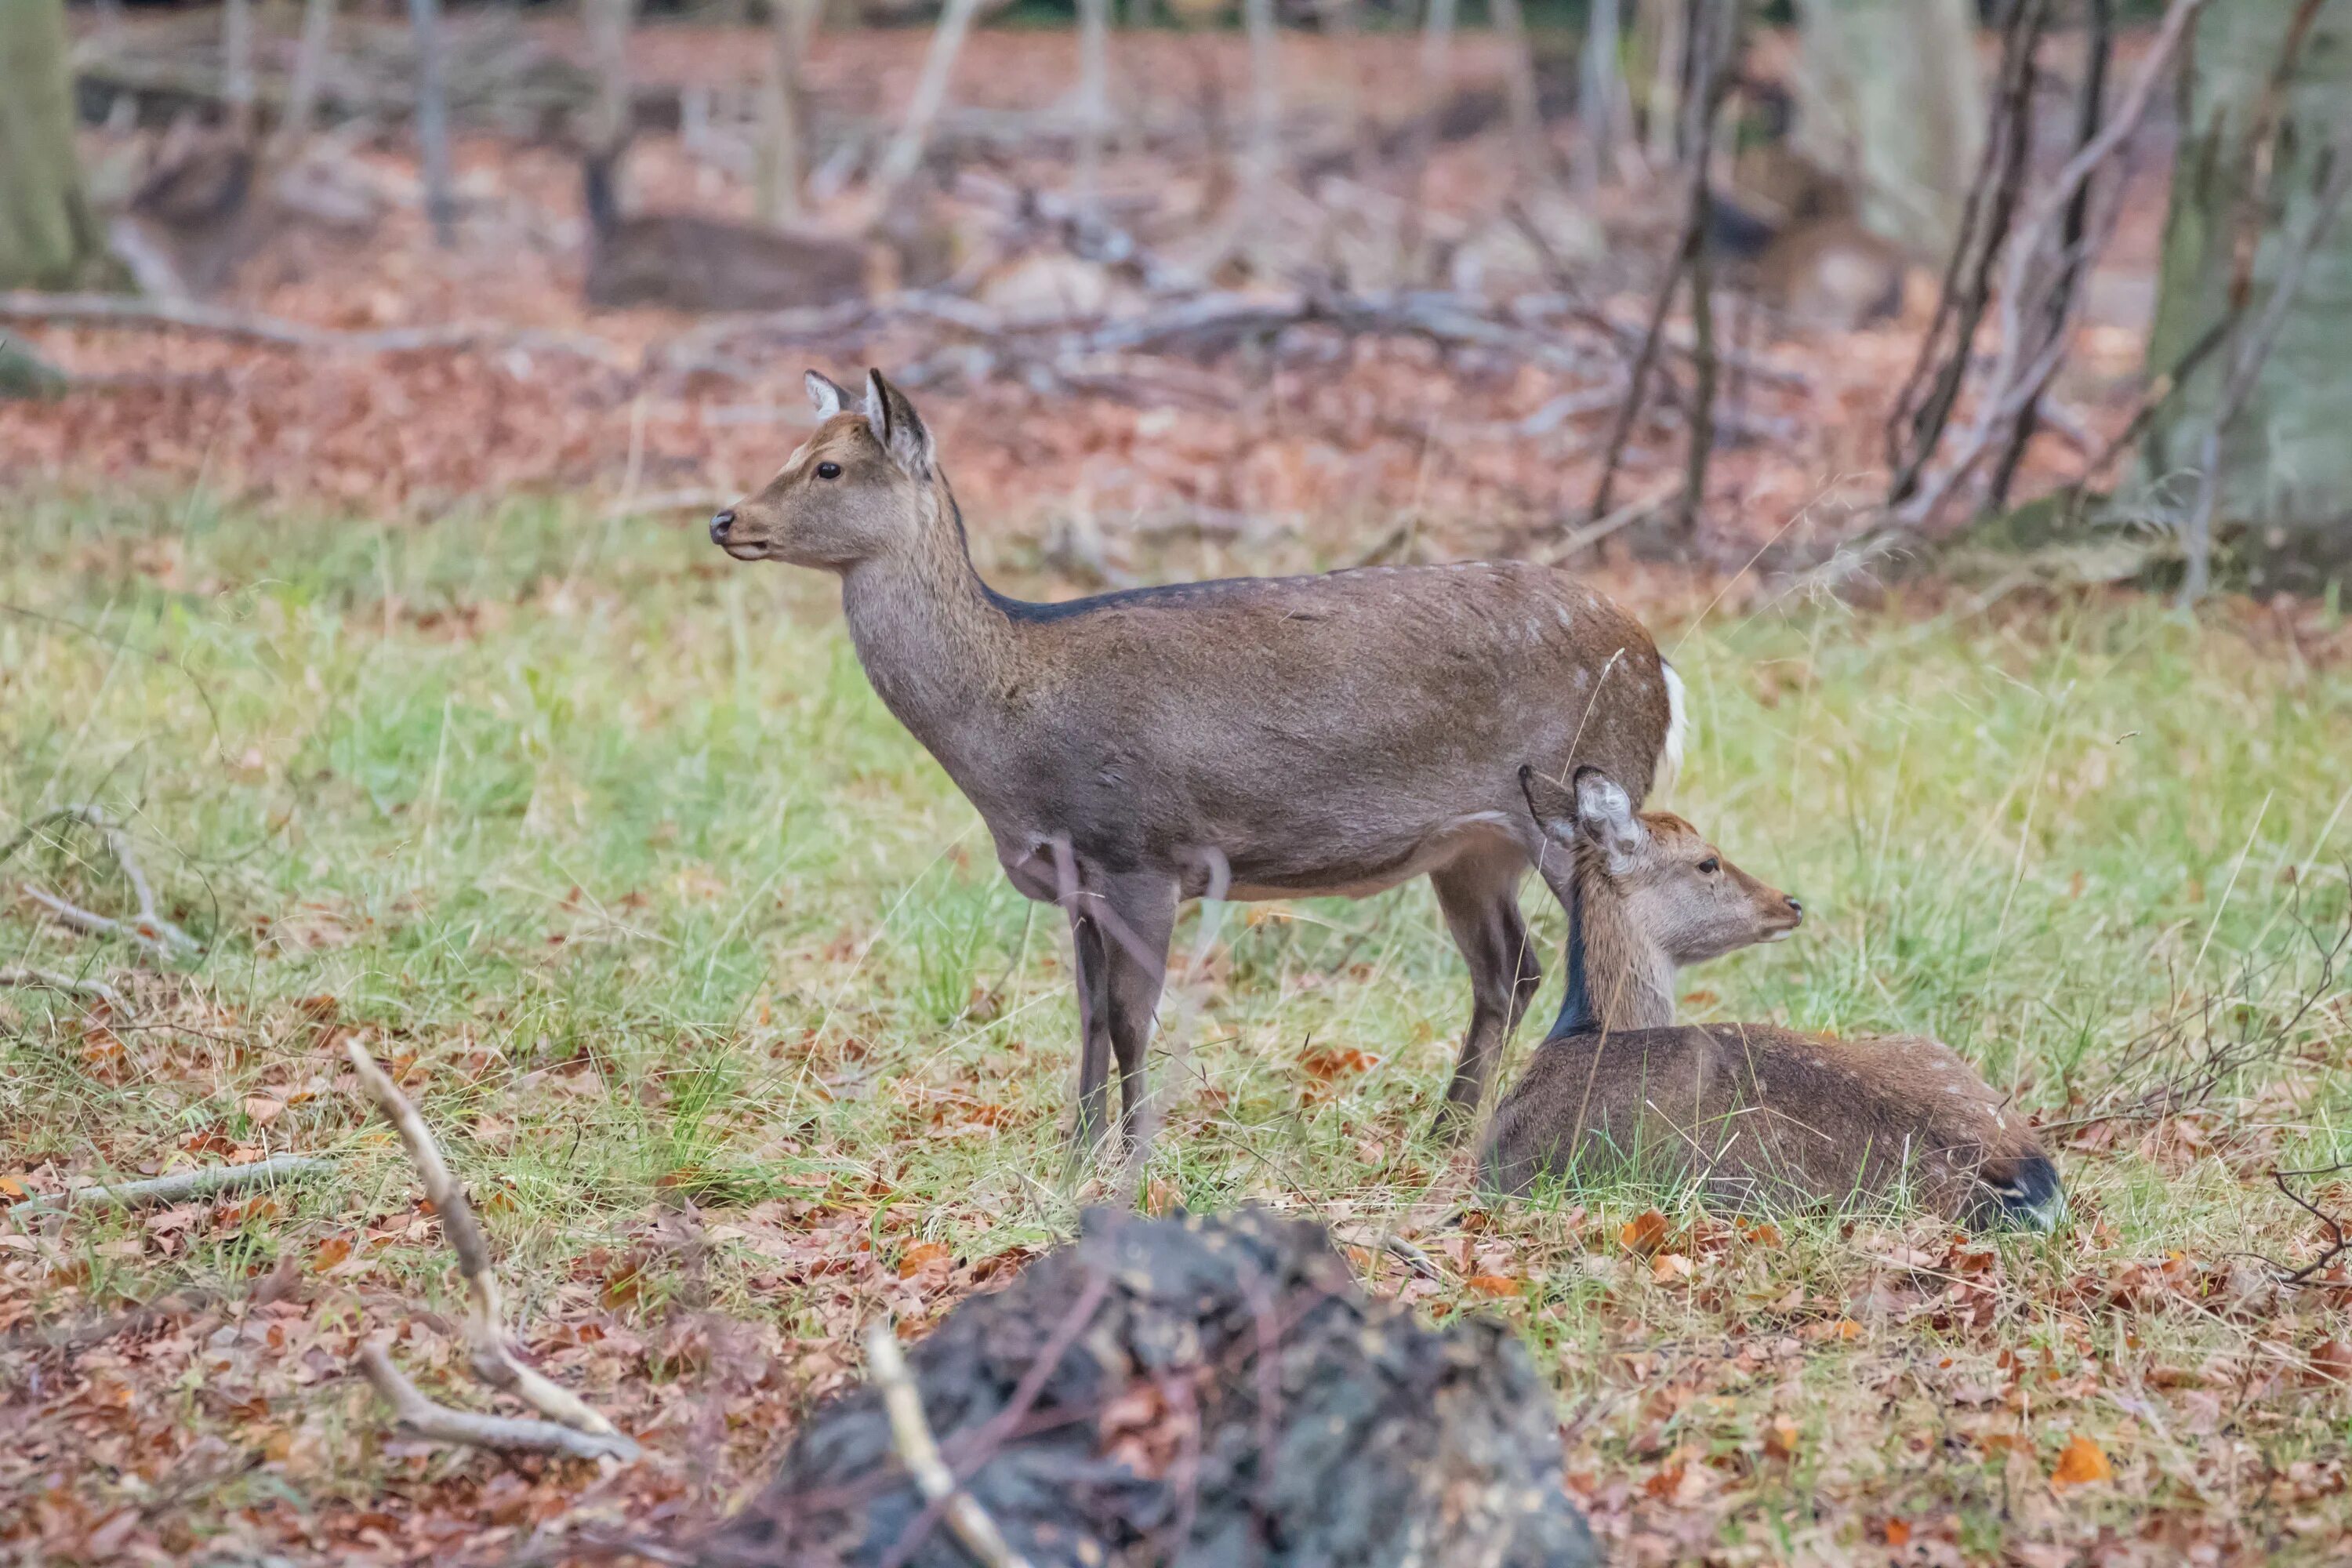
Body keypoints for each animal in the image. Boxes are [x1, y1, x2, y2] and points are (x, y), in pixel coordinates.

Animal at [706, 371, 1684, 1166]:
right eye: (797, 451)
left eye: (829, 467)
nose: (724, 517)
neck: (1008, 732)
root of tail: (1661, 665)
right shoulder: (1078, 875)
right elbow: (1089, 1015)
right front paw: (1073, 1153)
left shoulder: (1141, 850)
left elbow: (1132, 1021)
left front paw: (1132, 1159)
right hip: (1473, 847)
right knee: (1508, 971)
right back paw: (1445, 1133)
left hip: (1574, 801)